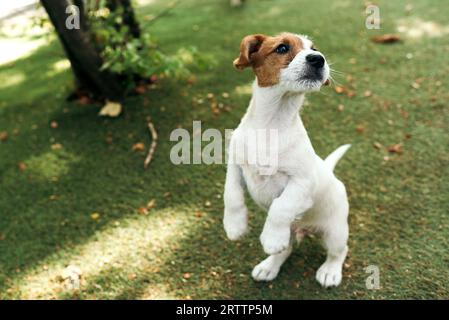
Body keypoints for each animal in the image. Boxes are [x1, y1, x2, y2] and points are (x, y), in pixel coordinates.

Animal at [224, 32, 350, 288]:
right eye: (282, 48)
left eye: (314, 49)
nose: (318, 59)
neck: (272, 123)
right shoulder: (235, 165)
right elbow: (231, 195)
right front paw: (234, 226)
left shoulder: (302, 182)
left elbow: (281, 207)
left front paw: (271, 237)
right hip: (295, 232)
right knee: (286, 250)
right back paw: (269, 266)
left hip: (335, 232)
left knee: (338, 252)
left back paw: (330, 271)